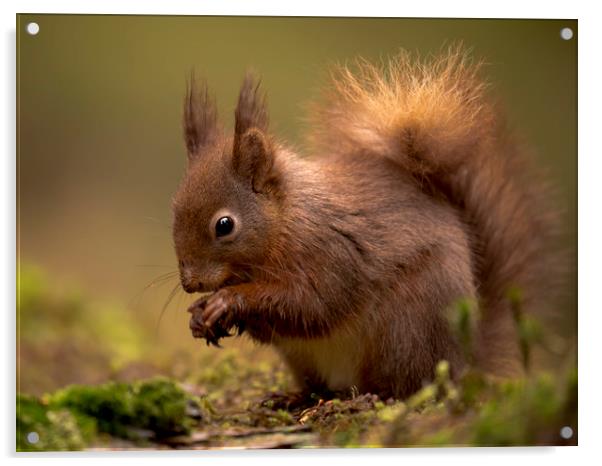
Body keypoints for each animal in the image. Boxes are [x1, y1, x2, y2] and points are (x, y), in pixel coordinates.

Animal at [171, 47, 556, 398]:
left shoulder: (333, 252)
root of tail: (467, 360)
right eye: (173, 209)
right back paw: (296, 397)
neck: (286, 222)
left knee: (407, 383)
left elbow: (312, 304)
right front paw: (197, 315)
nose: (190, 283)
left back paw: (371, 395)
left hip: (406, 329)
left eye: (224, 225)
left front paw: (227, 300)